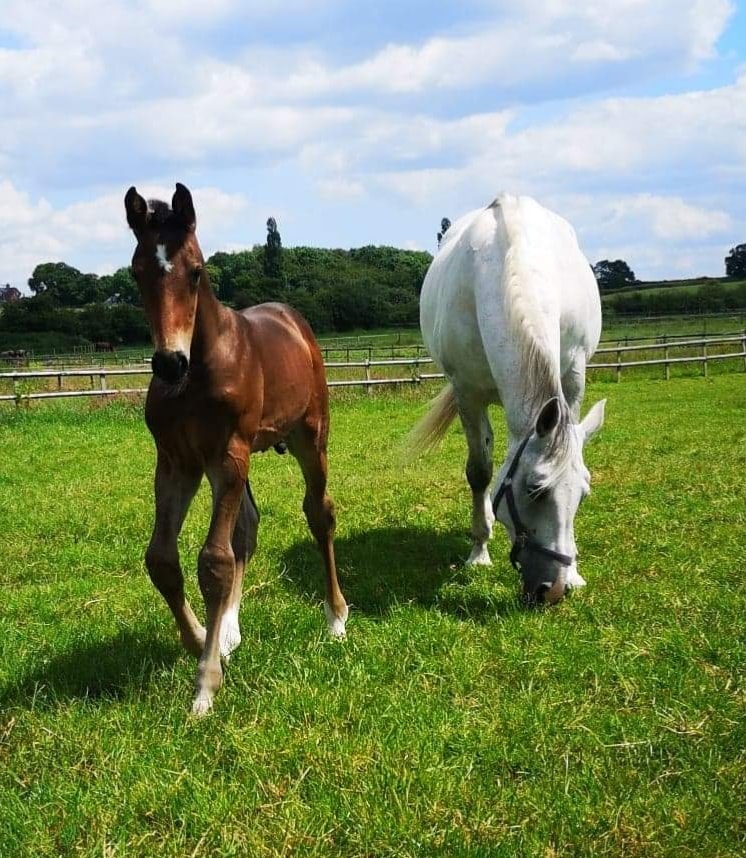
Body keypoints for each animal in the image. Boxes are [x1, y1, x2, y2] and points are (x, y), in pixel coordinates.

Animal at [125, 184, 348, 712]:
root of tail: (293, 318)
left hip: (309, 438)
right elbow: (162, 559)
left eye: (195, 271)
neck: (199, 370)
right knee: (247, 526)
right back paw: (228, 629)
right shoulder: (178, 462)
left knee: (319, 513)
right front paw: (201, 639)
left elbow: (214, 561)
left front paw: (205, 685)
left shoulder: (229, 453)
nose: (169, 363)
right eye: (136, 271)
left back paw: (335, 619)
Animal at [410, 196, 608, 600]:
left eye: (583, 494)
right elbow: (480, 471)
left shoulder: (573, 381)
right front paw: (479, 553)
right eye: (535, 491)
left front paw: (577, 572)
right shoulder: (467, 393)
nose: (555, 589)